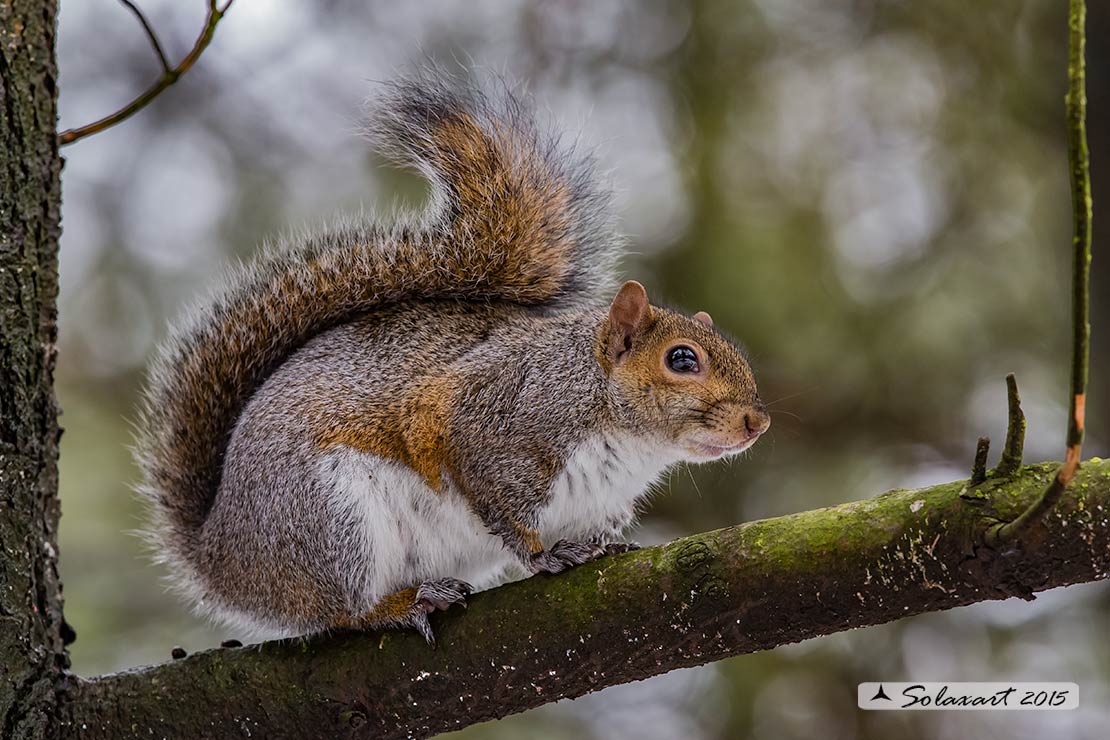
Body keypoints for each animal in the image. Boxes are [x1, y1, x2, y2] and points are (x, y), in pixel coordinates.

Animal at [134, 72, 768, 643]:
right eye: (682, 360)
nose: (756, 422)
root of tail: (220, 557)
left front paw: (600, 547)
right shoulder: (496, 419)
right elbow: (499, 500)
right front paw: (542, 557)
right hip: (328, 519)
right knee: (339, 611)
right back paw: (402, 604)